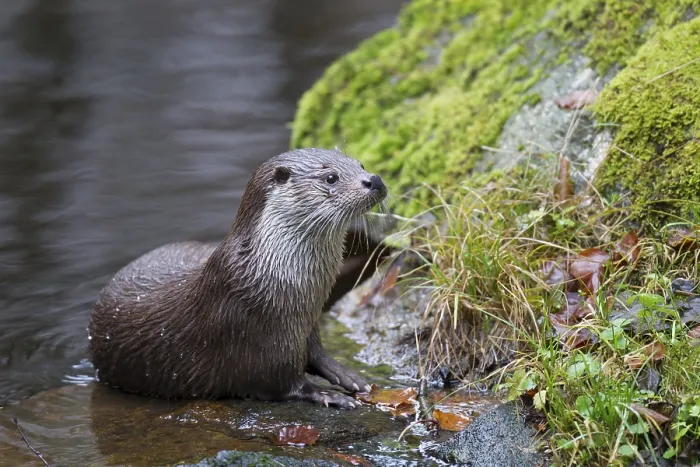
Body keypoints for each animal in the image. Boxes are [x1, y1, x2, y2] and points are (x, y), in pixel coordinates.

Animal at [88, 148, 387, 408]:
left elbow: (316, 353)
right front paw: (327, 395)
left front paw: (347, 375)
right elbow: (284, 385)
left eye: (360, 164)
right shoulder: (255, 340)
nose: (374, 180)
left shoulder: (306, 326)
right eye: (331, 178)